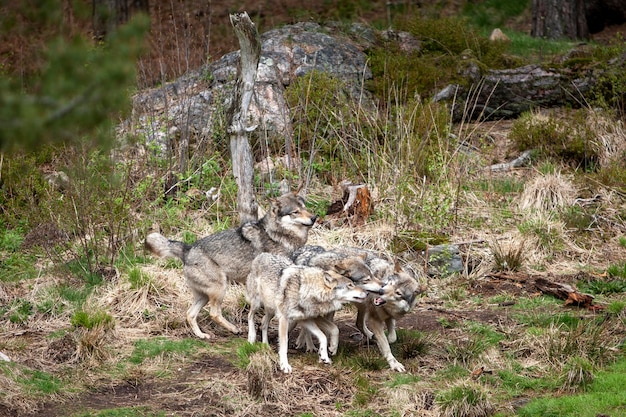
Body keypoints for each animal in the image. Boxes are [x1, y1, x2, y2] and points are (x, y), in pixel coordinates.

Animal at [144, 193, 314, 340]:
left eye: (305, 207)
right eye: (295, 212)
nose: (314, 217)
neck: (278, 234)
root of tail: (188, 249)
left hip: (204, 296)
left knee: (190, 314)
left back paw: (202, 335)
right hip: (220, 288)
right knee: (214, 313)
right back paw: (234, 329)